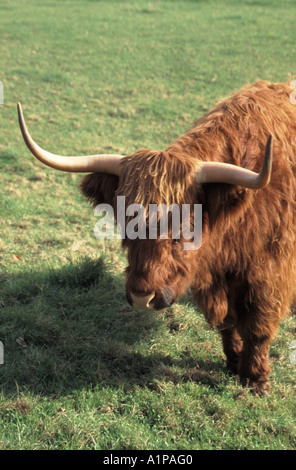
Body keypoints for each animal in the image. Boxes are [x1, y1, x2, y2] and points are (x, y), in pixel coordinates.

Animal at [17, 80, 296, 392]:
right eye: (126, 227)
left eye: (183, 231)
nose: (142, 297)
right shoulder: (214, 282)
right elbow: (227, 321)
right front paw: (234, 363)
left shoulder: (269, 274)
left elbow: (258, 326)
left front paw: (255, 379)